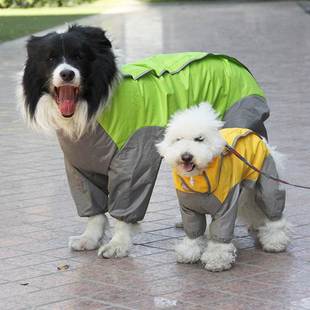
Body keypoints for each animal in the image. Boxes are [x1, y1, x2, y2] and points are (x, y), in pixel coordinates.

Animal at [20, 24, 272, 258]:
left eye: (78, 56)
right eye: (50, 58)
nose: (67, 74)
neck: (93, 108)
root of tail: (237, 65)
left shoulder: (132, 159)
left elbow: (125, 204)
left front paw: (117, 245)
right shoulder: (80, 164)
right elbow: (93, 208)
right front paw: (89, 239)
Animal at [157, 103, 290, 272]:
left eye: (199, 139)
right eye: (178, 140)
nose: (186, 157)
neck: (200, 177)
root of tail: (257, 137)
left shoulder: (225, 207)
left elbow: (220, 233)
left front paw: (217, 260)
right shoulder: (189, 210)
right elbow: (194, 232)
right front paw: (189, 252)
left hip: (267, 186)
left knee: (274, 214)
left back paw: (275, 242)